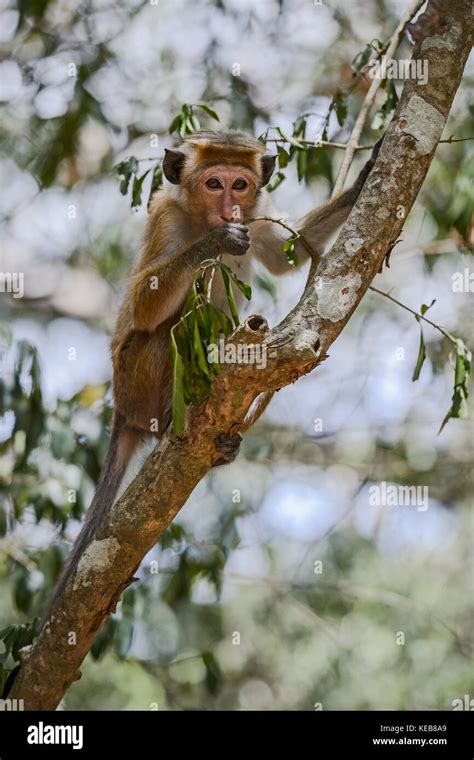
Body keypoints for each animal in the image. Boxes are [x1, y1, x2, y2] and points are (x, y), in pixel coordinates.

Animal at [42, 129, 380, 616]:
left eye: (239, 185)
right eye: (213, 183)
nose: (227, 207)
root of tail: (121, 408)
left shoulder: (256, 216)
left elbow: (286, 255)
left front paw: (366, 178)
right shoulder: (165, 218)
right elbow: (145, 306)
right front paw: (214, 242)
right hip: (133, 379)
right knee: (171, 332)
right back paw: (171, 421)